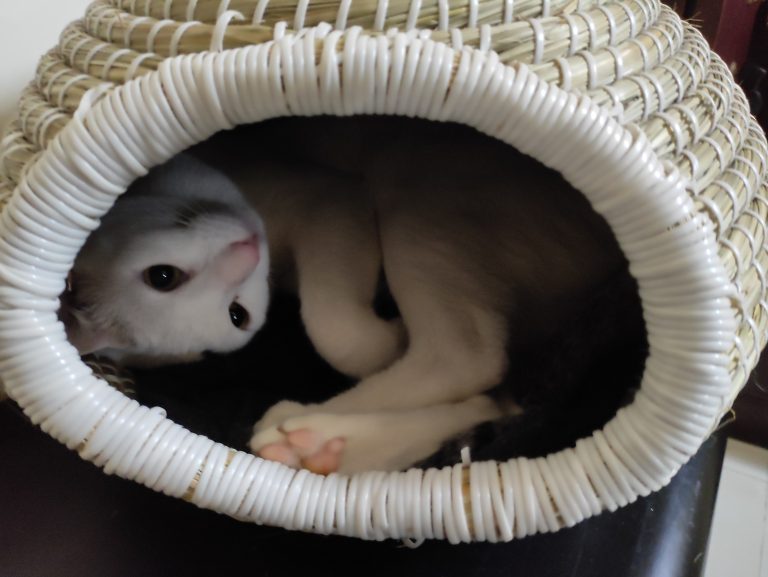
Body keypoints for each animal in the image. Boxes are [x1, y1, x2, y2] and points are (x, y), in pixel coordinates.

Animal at [61, 117, 636, 472]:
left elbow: (334, 330)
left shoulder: (328, 197)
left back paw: (307, 427)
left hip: (413, 190)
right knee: (490, 391)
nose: (247, 250)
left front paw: (387, 338)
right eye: (237, 316)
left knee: (467, 356)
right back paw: (316, 447)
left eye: (162, 276)